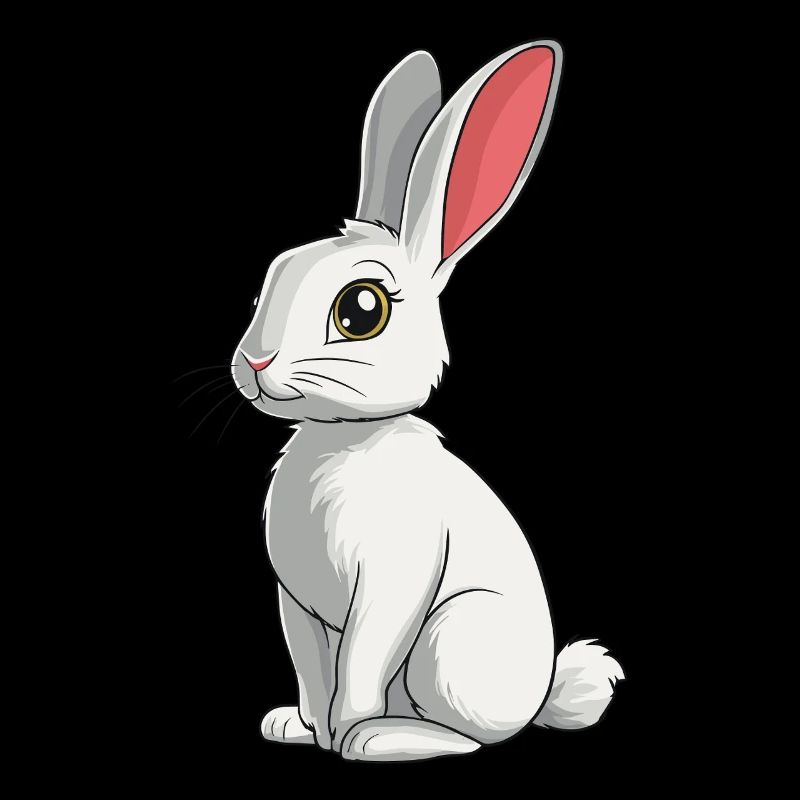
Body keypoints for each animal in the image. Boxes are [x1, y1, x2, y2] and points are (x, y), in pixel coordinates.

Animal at [231, 41, 624, 762]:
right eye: (269, 280)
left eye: (362, 311)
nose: (254, 364)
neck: (342, 436)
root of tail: (538, 697)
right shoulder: (296, 606)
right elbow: (312, 671)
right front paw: (307, 729)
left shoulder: (390, 590)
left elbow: (359, 667)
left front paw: (345, 736)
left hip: (450, 638)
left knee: (470, 738)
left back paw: (381, 738)